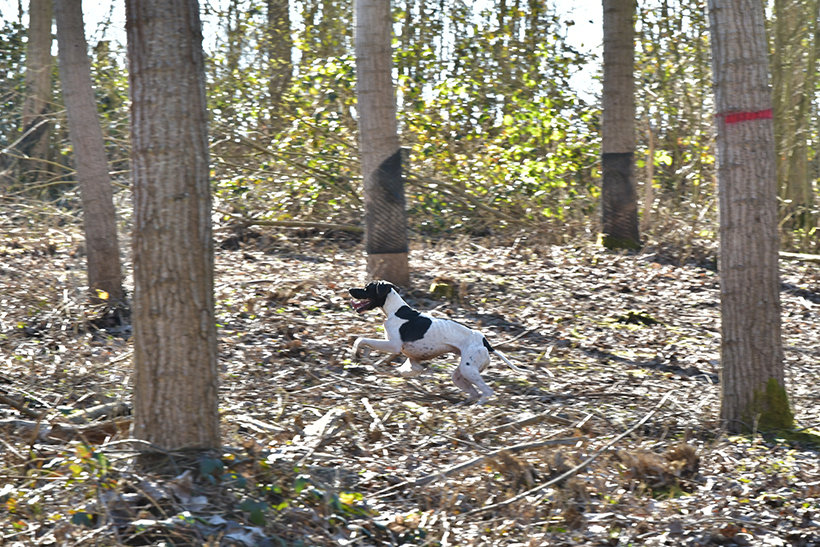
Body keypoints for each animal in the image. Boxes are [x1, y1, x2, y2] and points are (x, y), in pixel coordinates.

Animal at [348, 282, 524, 406]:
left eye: (367, 288)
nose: (350, 289)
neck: (396, 310)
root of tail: (486, 343)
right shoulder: (413, 359)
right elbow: (407, 369)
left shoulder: (393, 345)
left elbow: (361, 339)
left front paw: (356, 352)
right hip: (459, 375)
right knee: (474, 393)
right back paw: (460, 405)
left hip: (468, 370)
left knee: (487, 392)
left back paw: (477, 407)